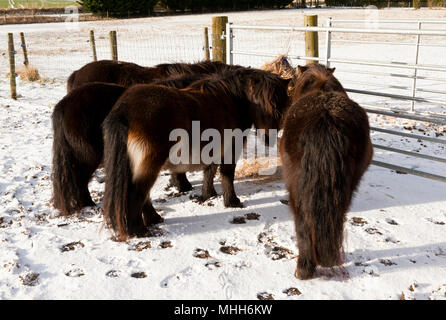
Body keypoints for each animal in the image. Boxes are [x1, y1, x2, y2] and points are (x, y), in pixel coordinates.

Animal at [101, 67, 290, 239]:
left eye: (282, 105)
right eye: (261, 101)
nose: (270, 138)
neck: (233, 100)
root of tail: (124, 110)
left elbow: (209, 171)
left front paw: (207, 195)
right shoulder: (230, 149)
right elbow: (227, 174)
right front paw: (232, 202)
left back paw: (154, 219)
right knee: (138, 192)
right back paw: (140, 229)